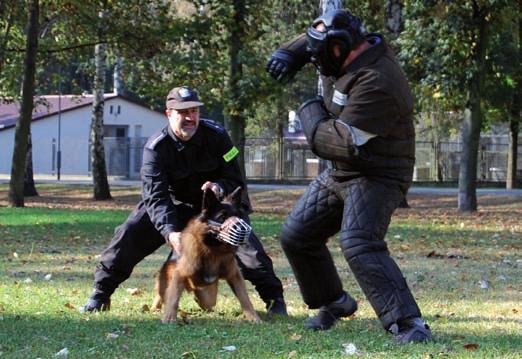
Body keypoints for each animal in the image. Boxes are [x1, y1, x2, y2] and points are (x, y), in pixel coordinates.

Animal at [152, 187, 262, 324]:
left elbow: (245, 298)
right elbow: (173, 298)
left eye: (237, 216)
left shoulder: (234, 275)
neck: (213, 250)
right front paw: (170, 318)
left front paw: (253, 317)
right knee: (162, 294)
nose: (242, 230)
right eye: (222, 217)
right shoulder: (180, 274)